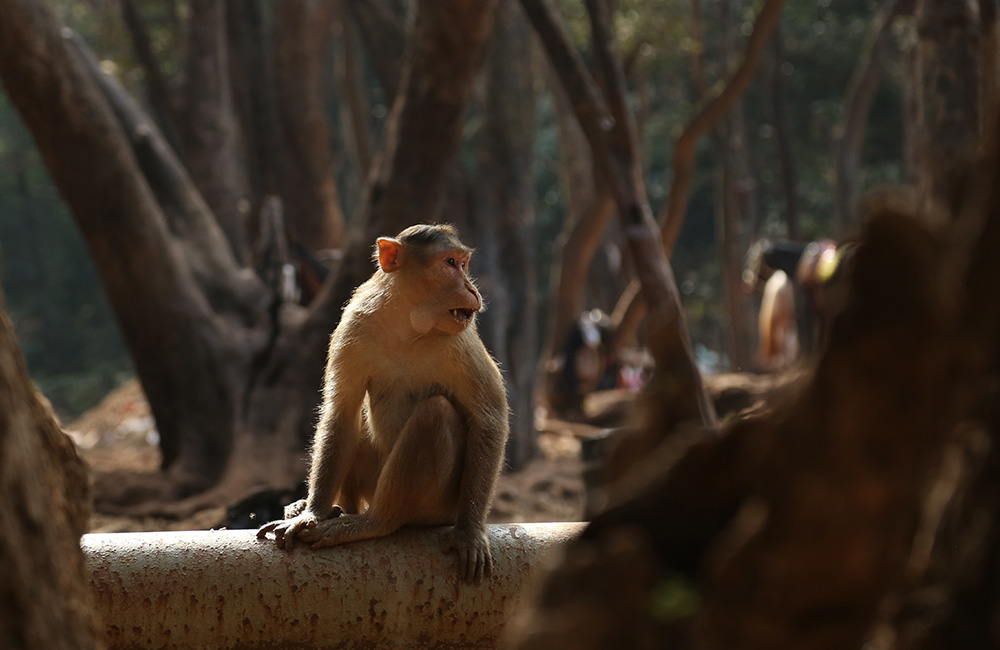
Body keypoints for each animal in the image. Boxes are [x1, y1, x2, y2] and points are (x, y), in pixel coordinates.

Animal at [258, 223, 508, 584]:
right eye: (450, 263)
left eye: (463, 264)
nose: (471, 289)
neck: (408, 325)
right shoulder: (353, 325)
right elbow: (342, 412)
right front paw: (313, 512)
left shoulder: (461, 341)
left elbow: (489, 418)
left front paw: (470, 532)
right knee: (358, 426)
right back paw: (335, 511)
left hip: (439, 505)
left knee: (435, 413)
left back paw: (375, 522)